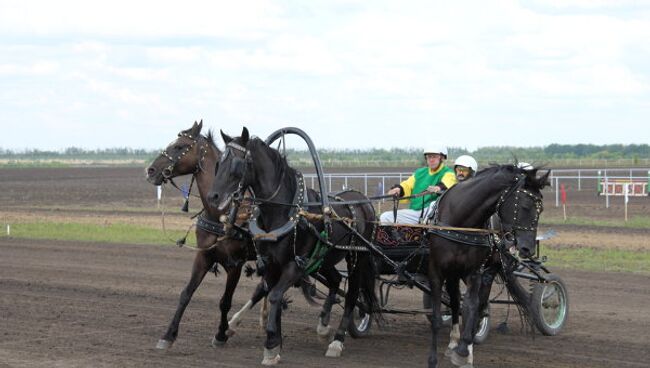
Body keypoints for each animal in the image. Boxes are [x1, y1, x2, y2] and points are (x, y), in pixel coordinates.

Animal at [146, 120, 254, 348]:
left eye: (179, 146)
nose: (150, 170)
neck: (221, 213)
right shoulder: (203, 256)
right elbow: (186, 293)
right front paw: (168, 335)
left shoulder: (235, 264)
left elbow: (225, 301)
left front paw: (220, 334)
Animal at [208, 128, 380, 364]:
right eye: (218, 163)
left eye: (236, 164)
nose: (213, 196)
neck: (283, 212)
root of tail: (363, 200)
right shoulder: (271, 264)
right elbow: (269, 293)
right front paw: (276, 344)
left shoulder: (295, 265)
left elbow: (274, 296)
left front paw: (271, 345)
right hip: (324, 257)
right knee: (336, 280)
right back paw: (323, 325)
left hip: (356, 256)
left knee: (353, 294)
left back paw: (337, 340)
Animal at [426, 165, 548, 368]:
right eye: (525, 206)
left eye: (541, 210)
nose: (528, 248)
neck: (460, 222)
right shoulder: (437, 271)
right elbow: (437, 317)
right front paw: (434, 358)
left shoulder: (475, 272)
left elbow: (471, 306)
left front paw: (463, 351)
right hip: (454, 273)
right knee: (454, 301)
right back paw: (454, 342)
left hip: (490, 268)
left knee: (480, 303)